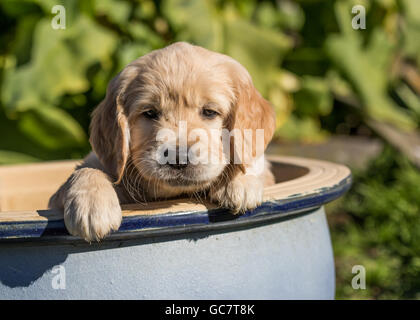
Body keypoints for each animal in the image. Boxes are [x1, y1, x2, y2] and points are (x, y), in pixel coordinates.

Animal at [49, 43, 278, 242]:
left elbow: (253, 161)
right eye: (150, 113)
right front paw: (91, 204)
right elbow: (86, 170)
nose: (178, 157)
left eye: (210, 112)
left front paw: (238, 181)